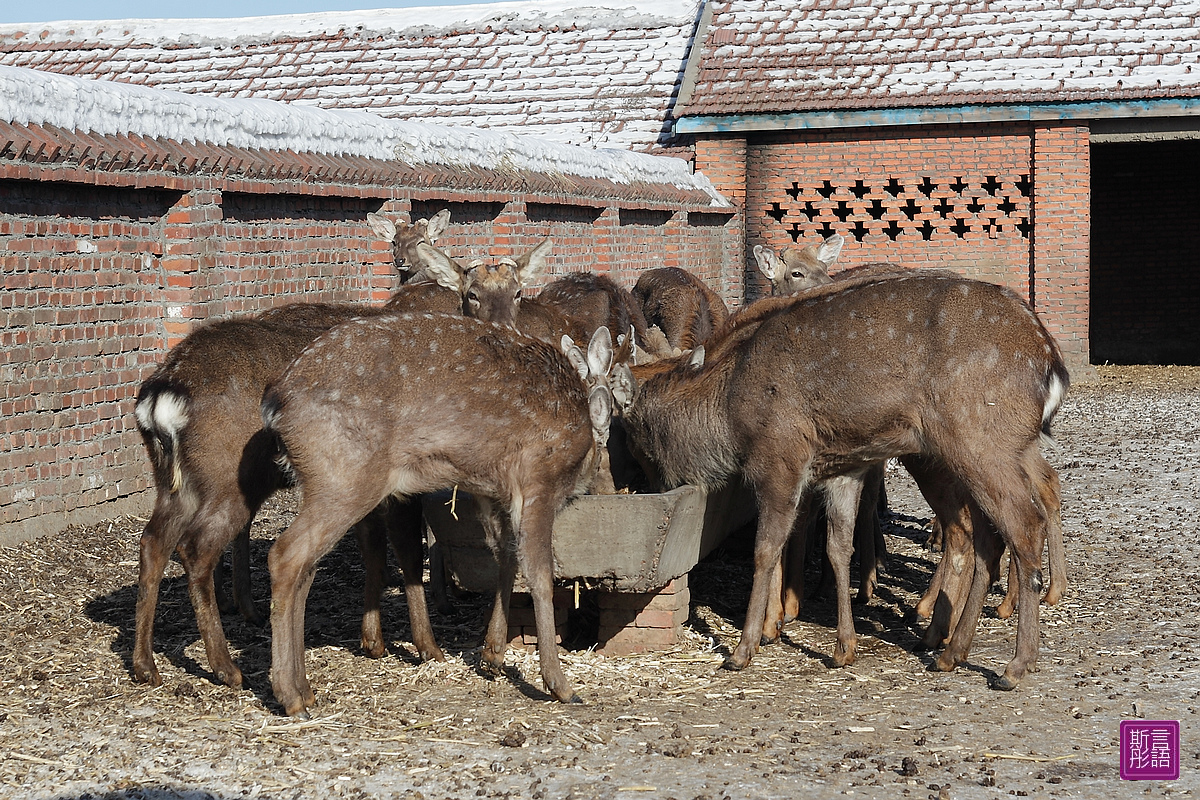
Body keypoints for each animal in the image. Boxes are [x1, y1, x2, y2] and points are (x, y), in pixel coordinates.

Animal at [262, 316, 619, 714]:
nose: (611, 486)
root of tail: (276, 402)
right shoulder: (538, 477)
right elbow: (540, 573)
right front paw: (560, 685)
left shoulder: (490, 490)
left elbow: (505, 555)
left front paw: (492, 656)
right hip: (343, 476)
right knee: (285, 555)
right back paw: (291, 696)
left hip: (326, 482)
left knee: (307, 566)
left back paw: (305, 689)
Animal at [619, 273, 1070, 690]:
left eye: (637, 438)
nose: (648, 486)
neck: (729, 410)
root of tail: (1051, 361)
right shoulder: (843, 467)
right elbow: (838, 548)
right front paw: (842, 649)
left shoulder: (779, 456)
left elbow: (766, 550)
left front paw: (743, 649)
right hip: (1001, 448)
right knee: (998, 530)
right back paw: (950, 651)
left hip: (980, 440)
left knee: (1022, 525)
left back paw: (1014, 664)